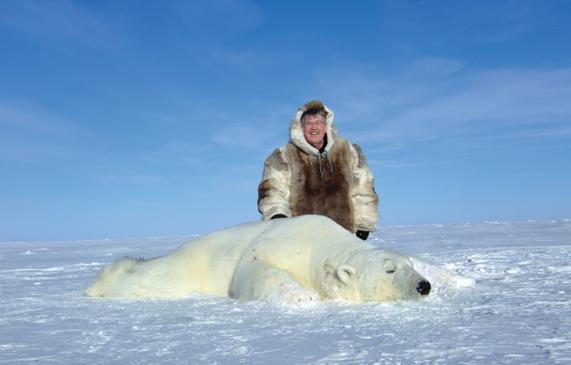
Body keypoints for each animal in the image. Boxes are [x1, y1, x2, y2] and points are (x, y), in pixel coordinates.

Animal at [86, 215, 434, 302]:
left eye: (409, 267)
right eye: (389, 271)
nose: (423, 286)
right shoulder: (277, 245)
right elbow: (257, 271)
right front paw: (304, 298)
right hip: (183, 269)